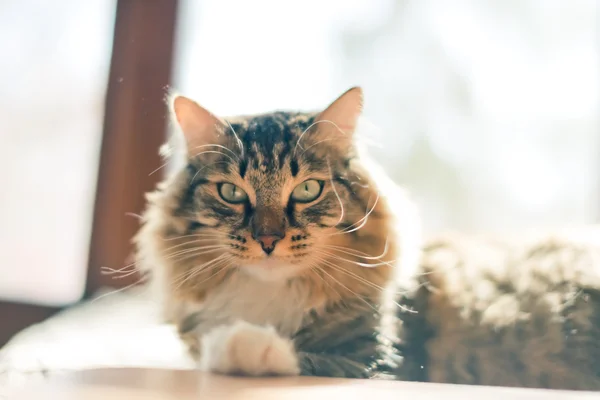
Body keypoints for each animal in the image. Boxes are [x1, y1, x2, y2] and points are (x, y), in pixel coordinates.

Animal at [134, 87, 420, 378]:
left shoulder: (378, 361)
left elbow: (316, 360)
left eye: (308, 190)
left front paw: (245, 343)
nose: (268, 240)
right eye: (231, 192)